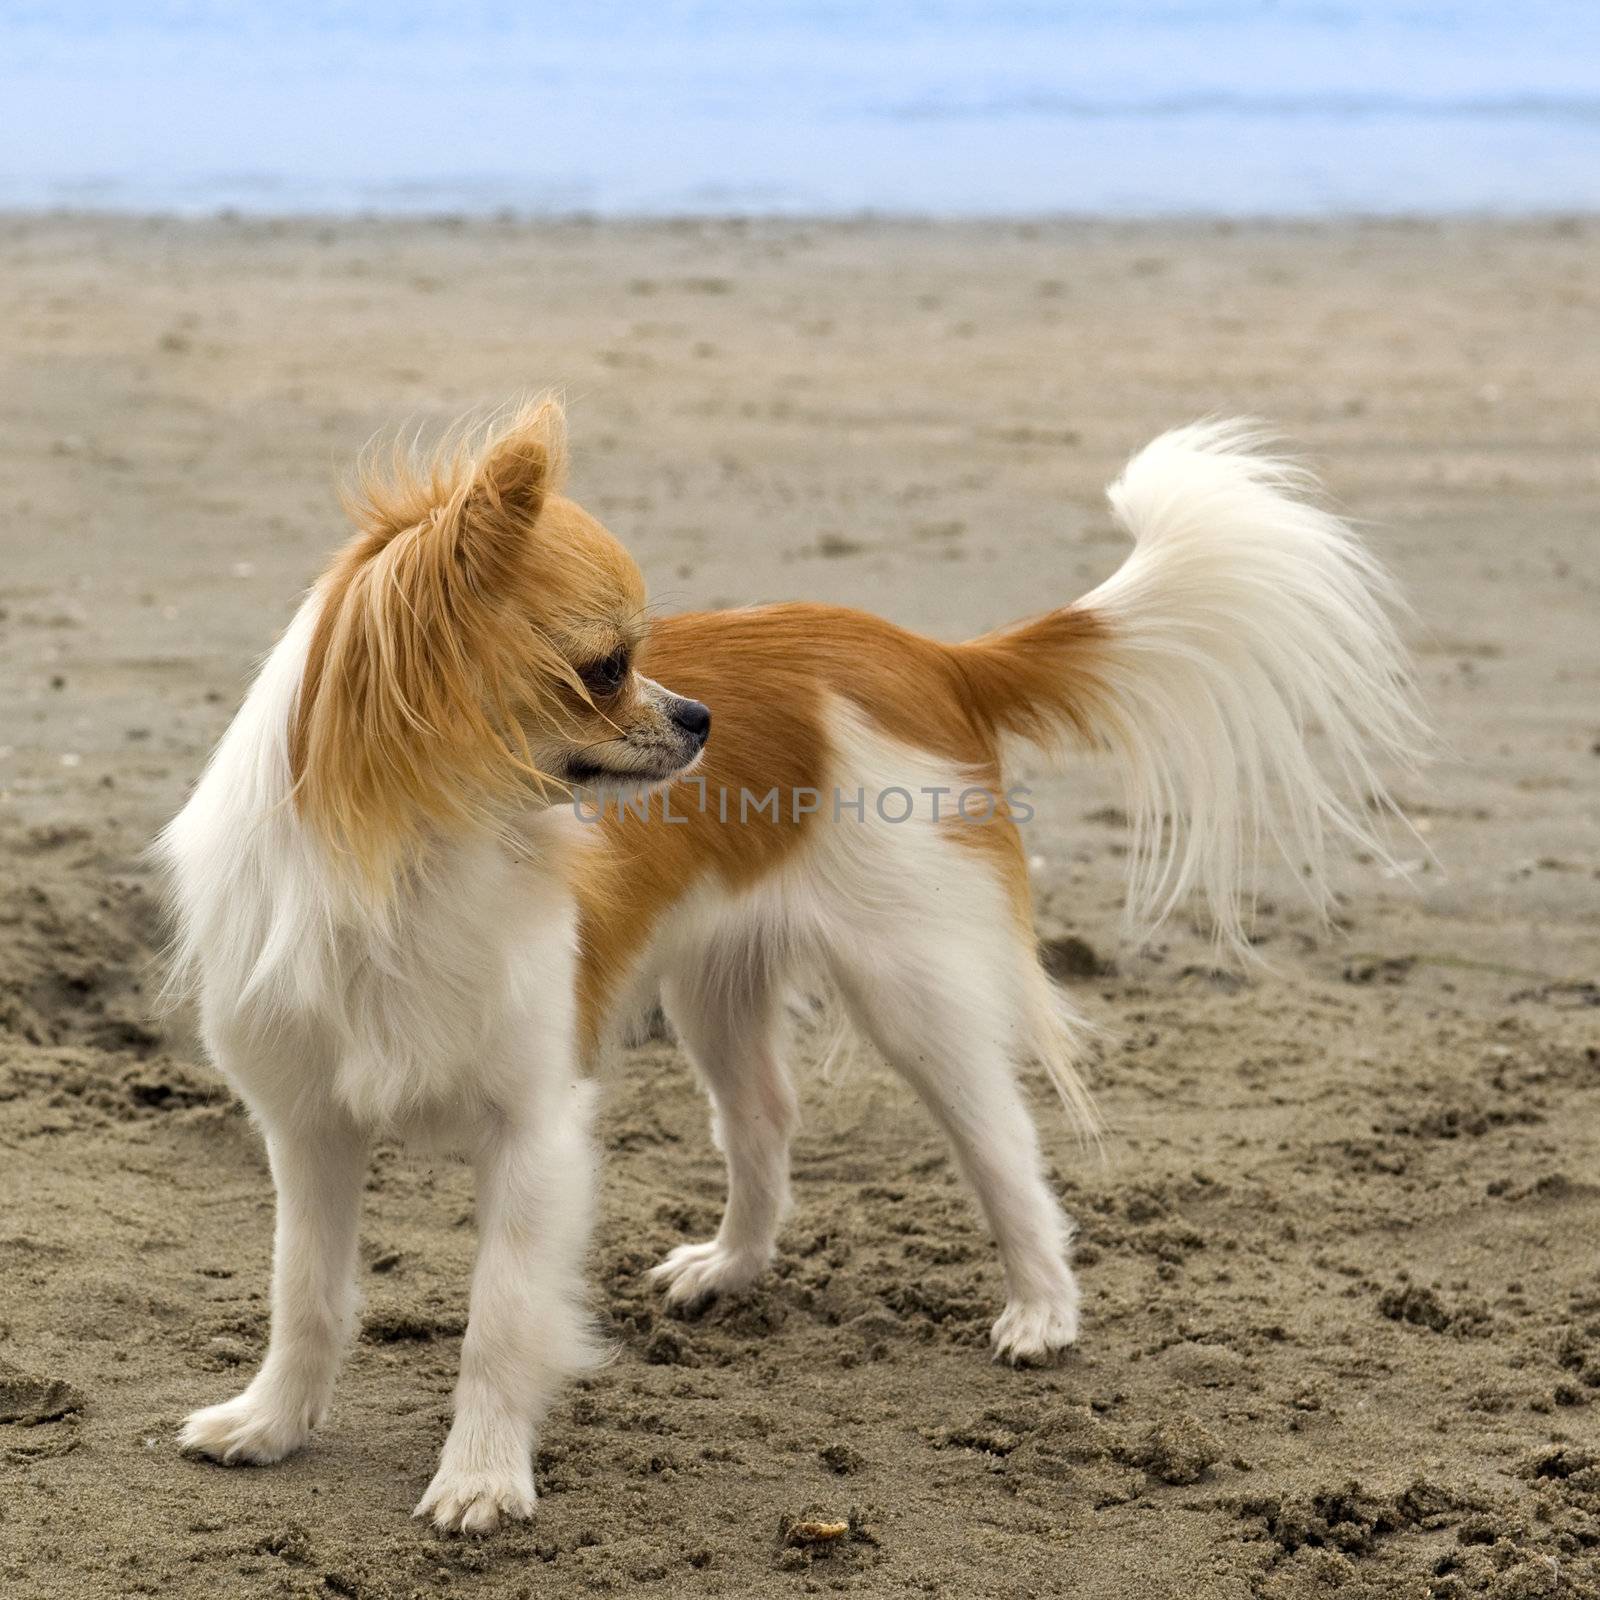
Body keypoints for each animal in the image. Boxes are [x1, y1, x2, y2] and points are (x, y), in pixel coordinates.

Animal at [159, 400, 1414, 1523]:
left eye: (637, 656)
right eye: (604, 667)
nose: (701, 717)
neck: (415, 864)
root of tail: (929, 655)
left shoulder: (534, 1129)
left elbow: (503, 1317)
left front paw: (480, 1476)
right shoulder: (308, 1128)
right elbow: (306, 1292)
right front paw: (272, 1424)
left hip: (912, 992)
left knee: (1004, 1146)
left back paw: (1043, 1310)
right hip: (714, 992)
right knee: (763, 1118)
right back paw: (732, 1266)